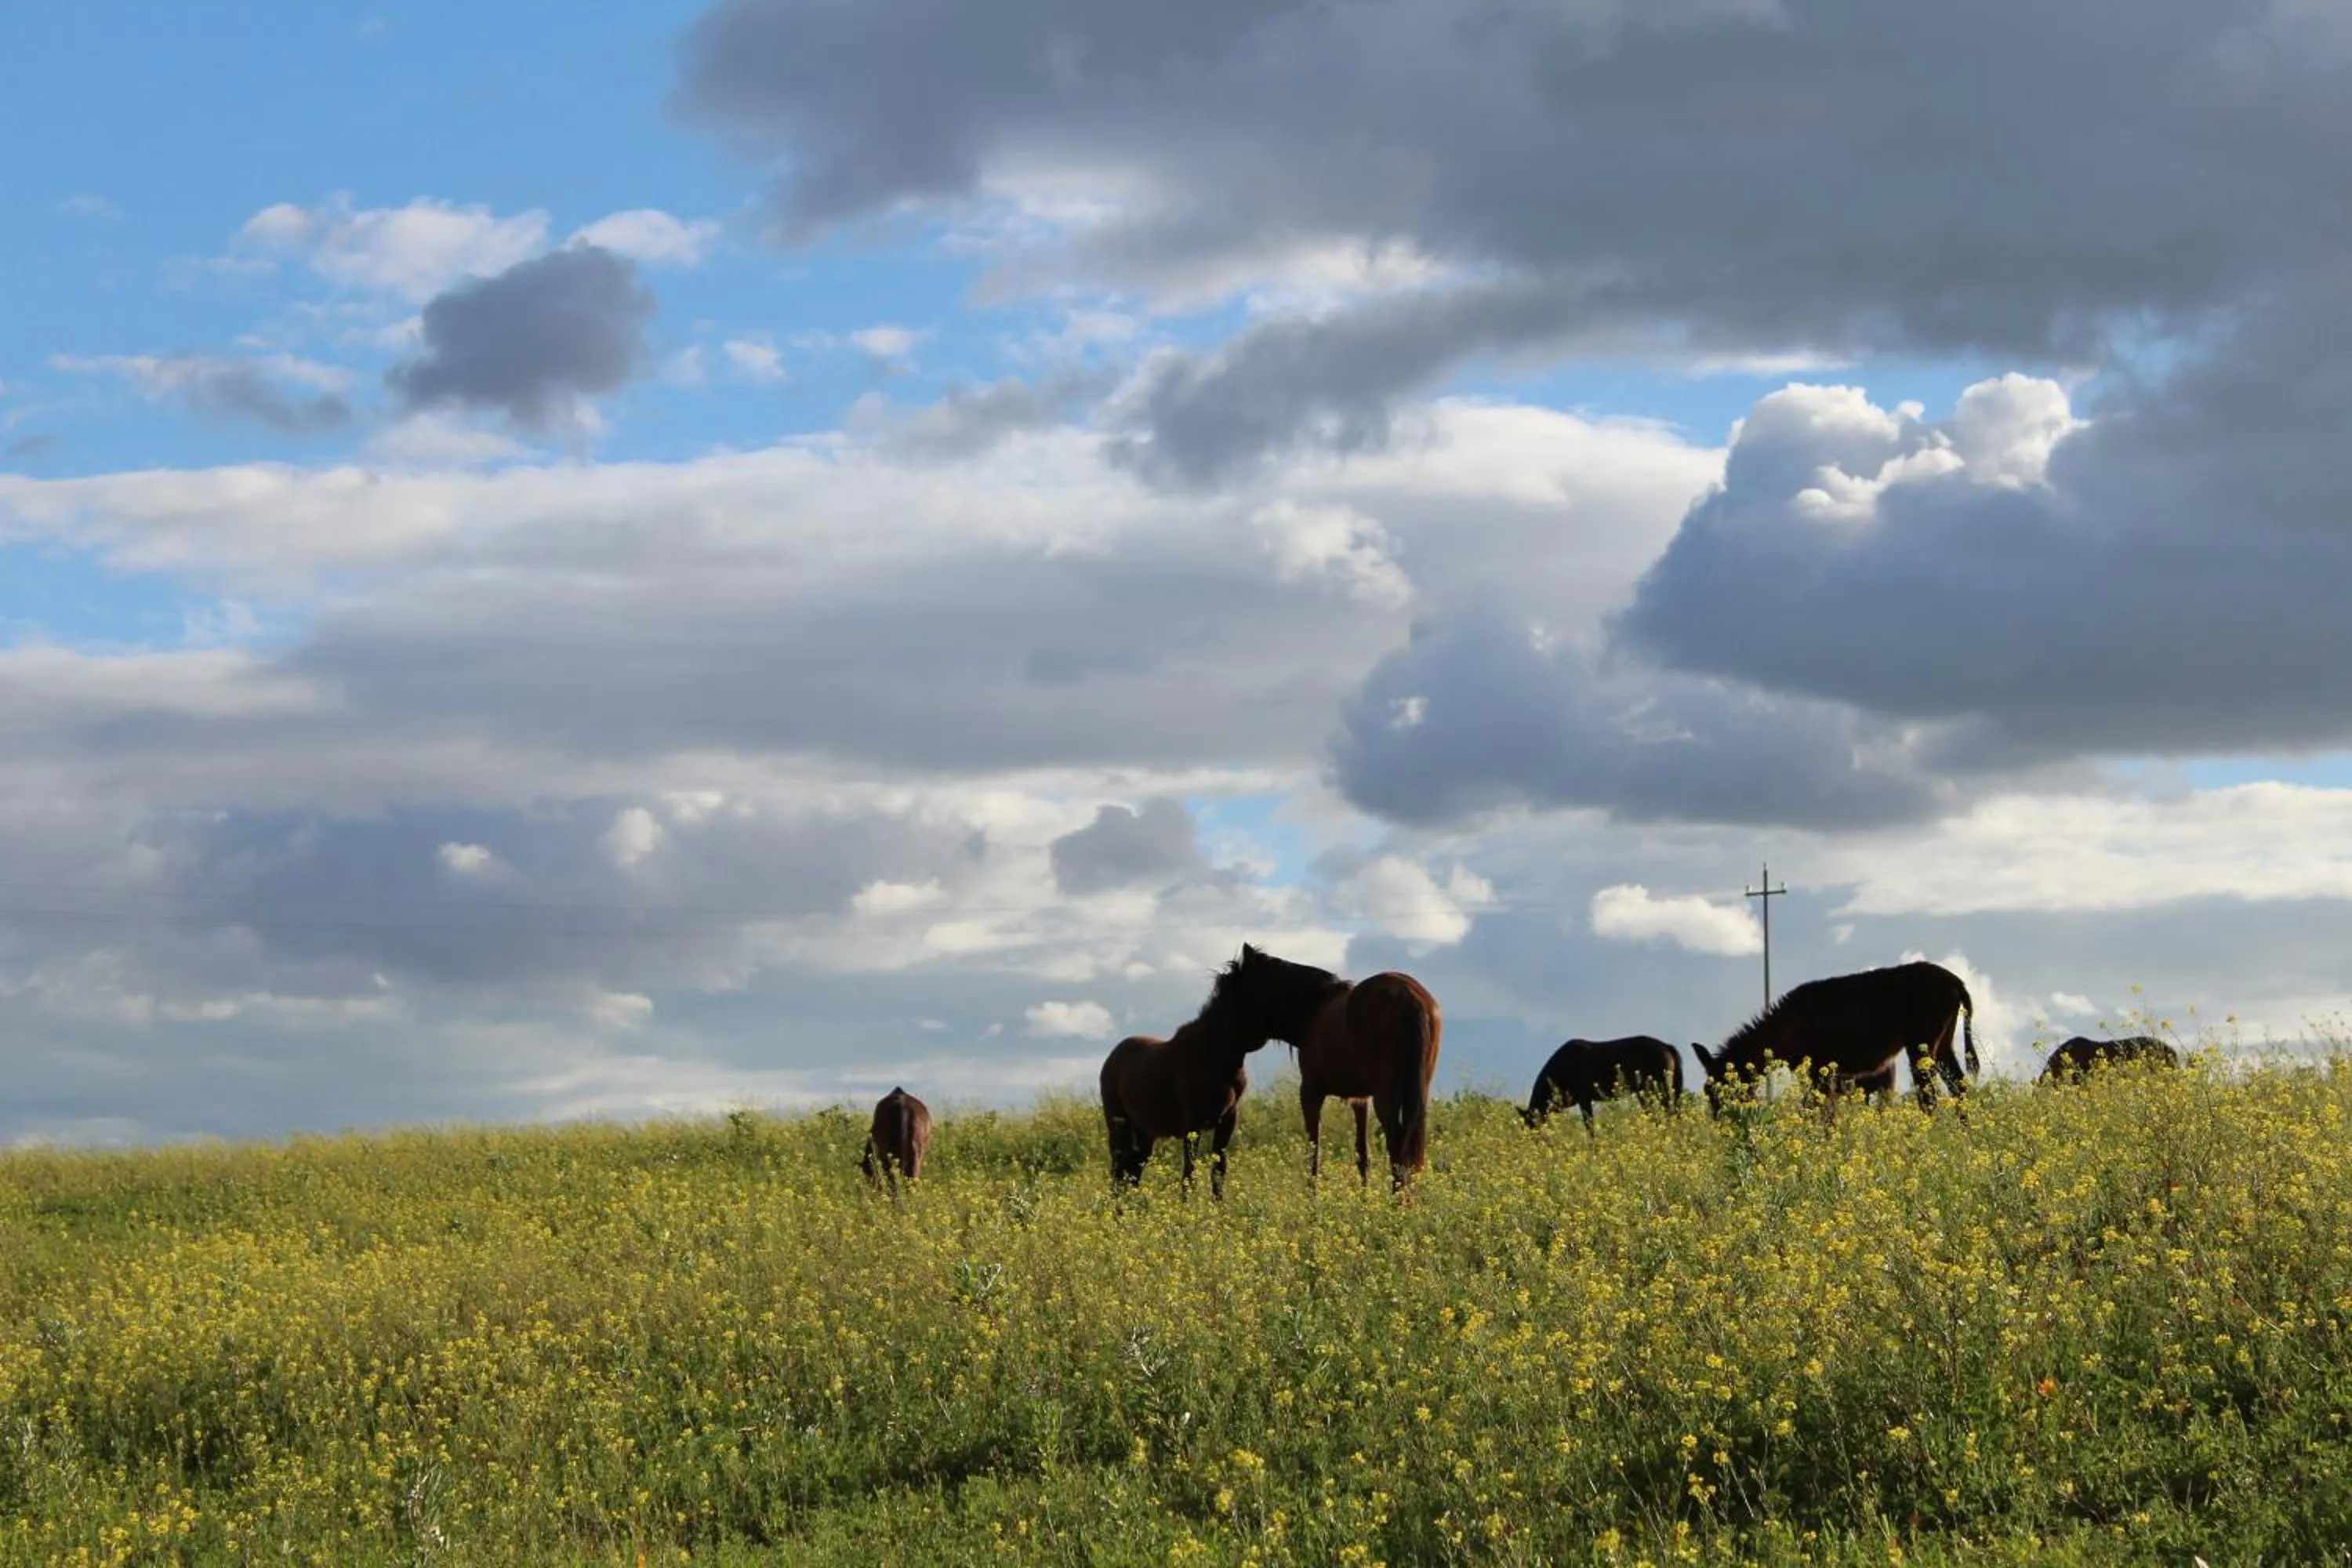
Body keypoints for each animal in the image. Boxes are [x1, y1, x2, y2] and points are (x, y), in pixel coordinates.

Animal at [1099, 952, 1283, 1197]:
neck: (1215, 1056)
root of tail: (1111, 1059)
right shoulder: (1192, 1125)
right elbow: (1190, 1172)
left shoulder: (1227, 1120)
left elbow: (1219, 1170)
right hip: (1118, 1124)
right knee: (1119, 1169)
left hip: (1145, 1131)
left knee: (1133, 1170)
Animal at [1210, 944, 1442, 1188]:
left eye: (1229, 989)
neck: (1312, 1009)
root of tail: (1411, 998)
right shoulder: (1361, 1099)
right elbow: (1362, 1155)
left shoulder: (1311, 1093)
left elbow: (1313, 1156)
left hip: (1387, 1097)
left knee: (1398, 1151)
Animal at [1523, 1036, 1684, 1134]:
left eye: (1533, 1126)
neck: (1564, 1066)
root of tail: (1667, 1046)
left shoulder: (1584, 1100)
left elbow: (1590, 1127)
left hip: (1660, 1090)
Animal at [1692, 960, 1978, 1113]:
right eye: (1707, 1091)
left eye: (1722, 1090)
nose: (1721, 1121)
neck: (1785, 1027)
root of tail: (1957, 983)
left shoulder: (1820, 1070)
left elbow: (1820, 1111)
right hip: (1943, 1045)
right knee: (1959, 1087)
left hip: (1921, 1045)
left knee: (1929, 1096)